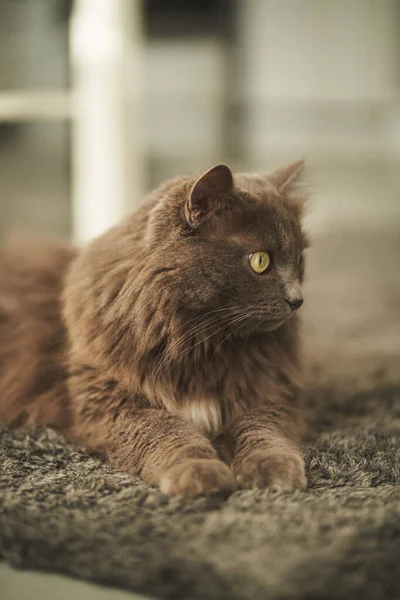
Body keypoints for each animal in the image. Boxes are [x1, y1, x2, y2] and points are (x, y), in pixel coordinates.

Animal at [0, 162, 310, 500]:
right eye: (260, 261)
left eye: (299, 260)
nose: (297, 300)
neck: (202, 345)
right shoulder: (114, 404)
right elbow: (170, 433)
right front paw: (201, 474)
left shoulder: (266, 395)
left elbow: (265, 433)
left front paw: (275, 471)